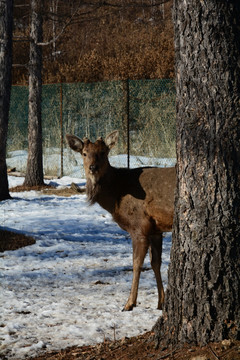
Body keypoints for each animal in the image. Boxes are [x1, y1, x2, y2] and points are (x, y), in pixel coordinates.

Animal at [66, 131, 175, 310]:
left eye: (103, 152)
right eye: (84, 153)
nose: (93, 168)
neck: (115, 198)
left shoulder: (139, 226)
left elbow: (136, 264)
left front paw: (129, 303)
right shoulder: (156, 229)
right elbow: (155, 263)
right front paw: (161, 302)